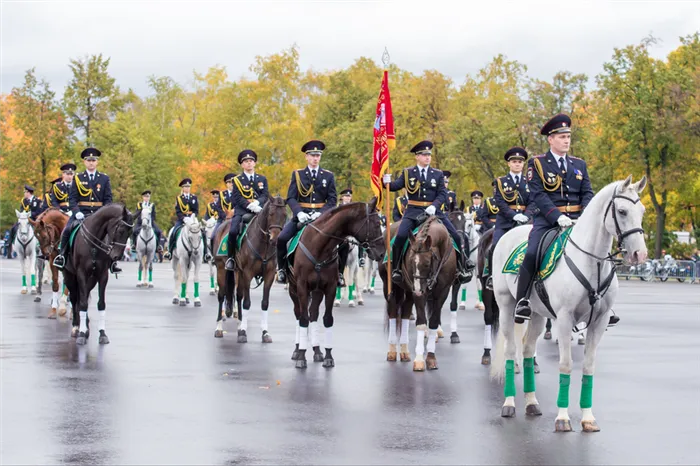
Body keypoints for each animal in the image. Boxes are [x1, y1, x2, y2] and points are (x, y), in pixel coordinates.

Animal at [62, 206, 133, 344]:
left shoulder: (102, 275)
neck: (94, 240)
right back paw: (76, 327)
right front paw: (81, 333)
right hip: (69, 276)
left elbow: (100, 304)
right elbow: (82, 303)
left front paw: (102, 333)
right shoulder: (81, 274)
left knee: (82, 298)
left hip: (91, 280)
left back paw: (85, 326)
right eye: (120, 230)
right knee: (74, 298)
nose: (117, 256)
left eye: (130, 233)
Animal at [213, 197, 290, 342]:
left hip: (238, 273)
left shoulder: (269, 275)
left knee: (238, 296)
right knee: (221, 296)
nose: (275, 239)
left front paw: (264, 333)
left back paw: (239, 325)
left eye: (284, 215)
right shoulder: (248, 274)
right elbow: (247, 303)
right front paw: (243, 333)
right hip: (221, 270)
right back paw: (219, 328)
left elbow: (264, 303)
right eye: (271, 214)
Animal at [288, 198, 386, 370]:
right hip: (294, 290)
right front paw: (301, 356)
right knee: (299, 314)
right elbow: (303, 319)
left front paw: (328, 356)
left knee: (313, 314)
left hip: (317, 291)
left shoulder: (329, 288)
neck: (319, 247)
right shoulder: (302, 287)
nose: (381, 253)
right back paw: (298, 348)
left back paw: (316, 350)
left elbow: (327, 319)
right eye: (375, 224)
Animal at [380, 215, 456, 372]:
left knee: (405, 312)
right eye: (410, 261)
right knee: (392, 311)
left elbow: (433, 322)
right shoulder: (420, 293)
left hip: (408, 291)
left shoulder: (443, 291)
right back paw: (392, 351)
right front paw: (420, 359)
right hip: (390, 285)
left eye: (427, 263)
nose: (417, 290)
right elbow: (421, 323)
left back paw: (404, 352)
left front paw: (431, 358)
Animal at [490, 177, 648, 432]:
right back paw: (509, 403)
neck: (592, 262)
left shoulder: (599, 322)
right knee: (511, 351)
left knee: (527, 350)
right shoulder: (564, 320)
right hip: (506, 307)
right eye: (622, 211)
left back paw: (531, 402)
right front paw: (563, 417)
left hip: (537, 314)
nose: (639, 254)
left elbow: (588, 366)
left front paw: (587, 418)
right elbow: (565, 365)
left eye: (642, 211)